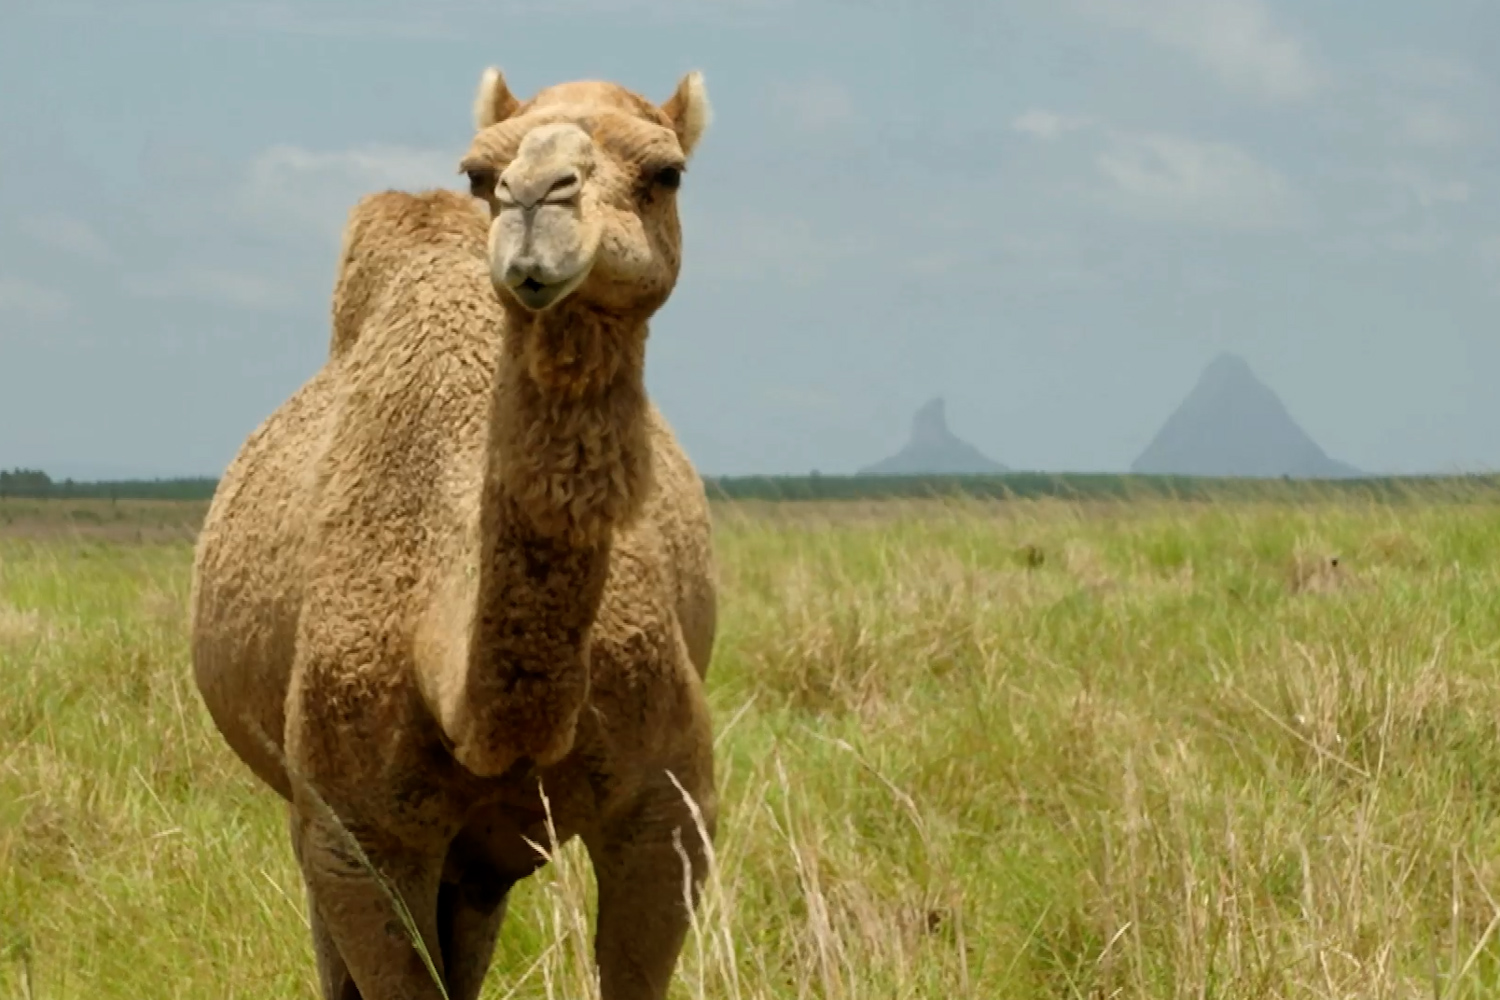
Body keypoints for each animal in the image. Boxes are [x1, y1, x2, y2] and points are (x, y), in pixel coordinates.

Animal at [189, 64, 720, 1000]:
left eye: (667, 172)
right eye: (480, 172)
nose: (535, 197)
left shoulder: (670, 810)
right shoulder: (356, 835)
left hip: (481, 858)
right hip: (315, 816)